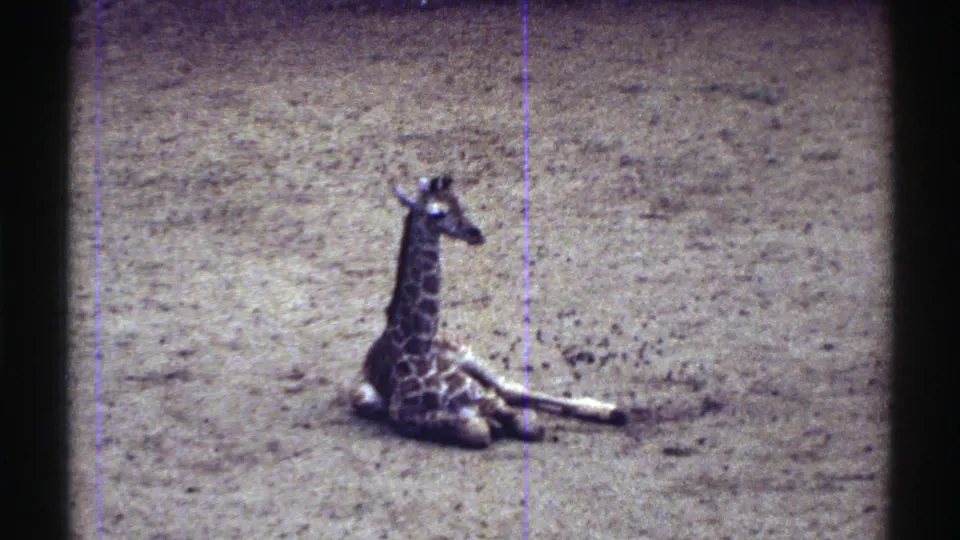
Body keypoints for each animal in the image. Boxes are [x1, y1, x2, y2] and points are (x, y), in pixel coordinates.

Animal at [350, 176, 627, 448]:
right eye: (437, 213)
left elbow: (526, 422)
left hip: (469, 356)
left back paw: (612, 410)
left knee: (509, 387)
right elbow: (478, 430)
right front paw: (491, 425)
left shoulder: (484, 396)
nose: (476, 233)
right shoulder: (405, 415)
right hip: (365, 397)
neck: (415, 347)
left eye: (459, 203)